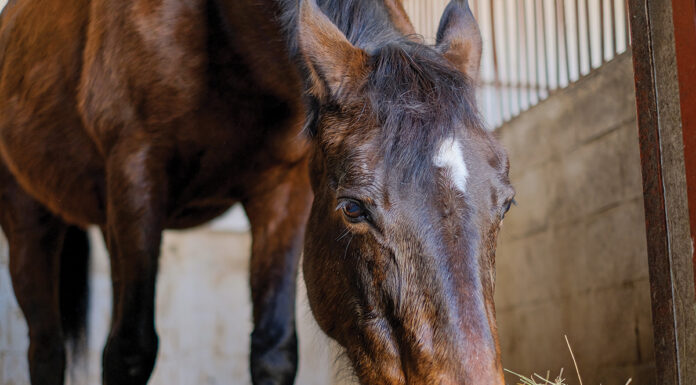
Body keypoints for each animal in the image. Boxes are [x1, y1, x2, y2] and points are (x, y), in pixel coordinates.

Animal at [0, 0, 512, 380]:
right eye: (352, 209)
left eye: (506, 204)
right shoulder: (137, 170)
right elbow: (129, 349)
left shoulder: (284, 192)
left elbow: (272, 349)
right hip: (30, 222)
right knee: (46, 351)